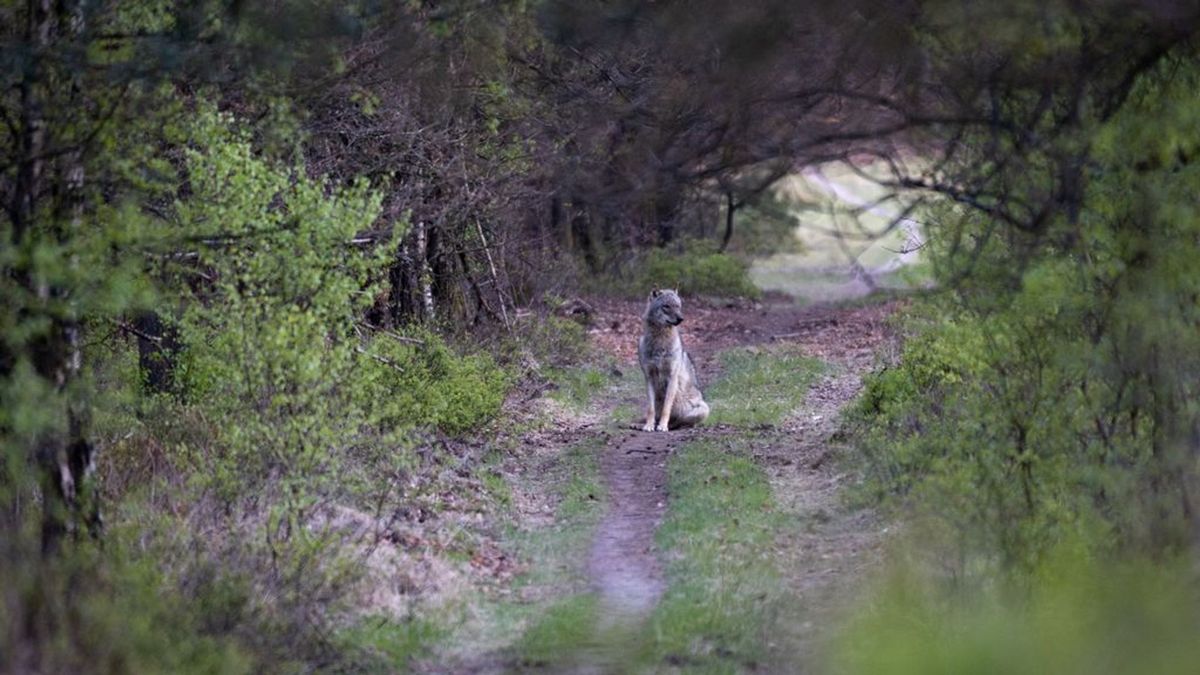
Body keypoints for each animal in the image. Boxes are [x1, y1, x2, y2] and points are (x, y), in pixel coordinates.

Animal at [638, 289, 709, 432]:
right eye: (666, 306)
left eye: (678, 306)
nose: (681, 318)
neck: (660, 343)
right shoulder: (649, 377)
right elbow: (650, 409)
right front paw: (649, 425)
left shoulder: (672, 377)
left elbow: (666, 408)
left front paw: (662, 426)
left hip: (703, 409)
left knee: (681, 422)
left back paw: (670, 426)